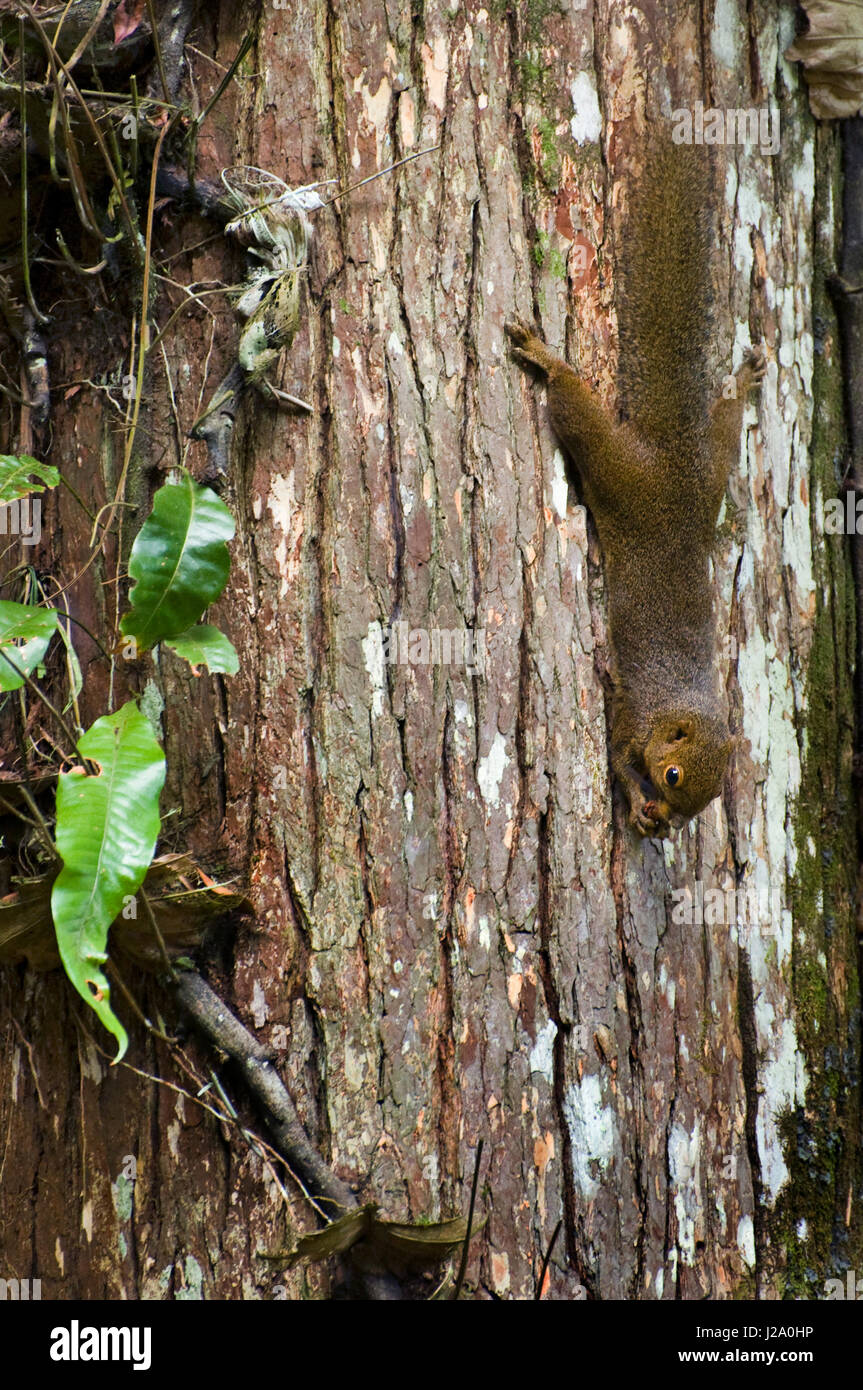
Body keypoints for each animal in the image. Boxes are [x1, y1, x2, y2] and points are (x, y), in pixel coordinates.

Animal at [505, 135, 761, 834]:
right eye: (672, 776)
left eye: (702, 803)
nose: (670, 817)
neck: (680, 702)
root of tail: (673, 457)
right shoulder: (634, 713)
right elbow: (618, 755)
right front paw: (634, 799)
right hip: (620, 468)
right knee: (579, 416)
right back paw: (549, 359)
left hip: (713, 468)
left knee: (726, 423)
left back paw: (743, 384)